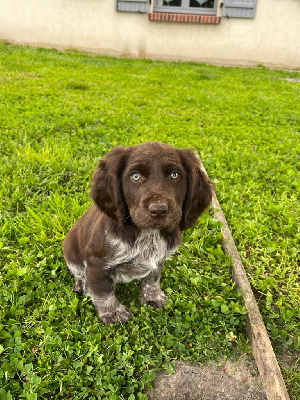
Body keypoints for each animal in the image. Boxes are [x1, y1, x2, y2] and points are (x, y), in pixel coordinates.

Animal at [63, 142, 212, 324]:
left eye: (175, 175)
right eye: (135, 176)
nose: (158, 210)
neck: (148, 234)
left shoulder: (158, 259)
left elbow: (152, 279)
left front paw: (153, 297)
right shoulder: (97, 264)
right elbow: (103, 292)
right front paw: (112, 313)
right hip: (70, 248)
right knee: (77, 270)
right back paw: (82, 284)